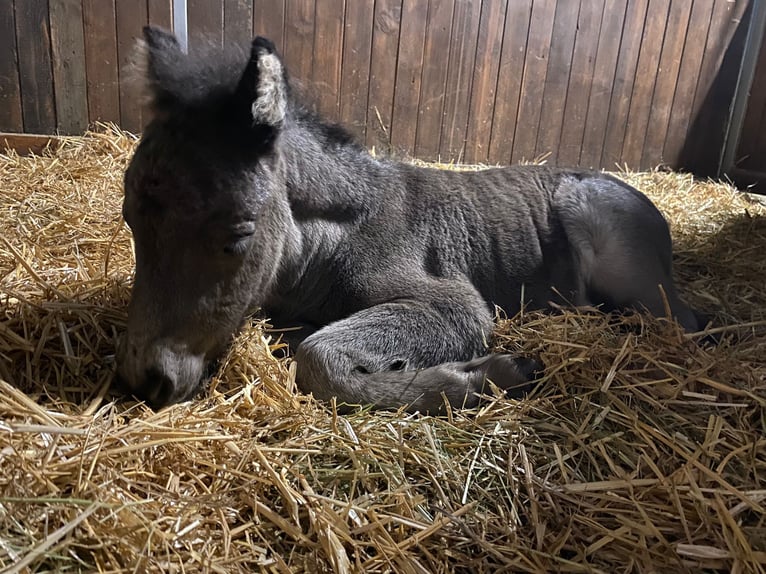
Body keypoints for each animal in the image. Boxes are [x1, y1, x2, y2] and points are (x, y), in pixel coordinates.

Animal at [115, 28, 708, 414]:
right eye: (131, 222)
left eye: (237, 236)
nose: (148, 380)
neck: (331, 243)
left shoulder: (454, 304)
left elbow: (318, 358)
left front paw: (486, 375)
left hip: (630, 272)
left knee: (690, 323)